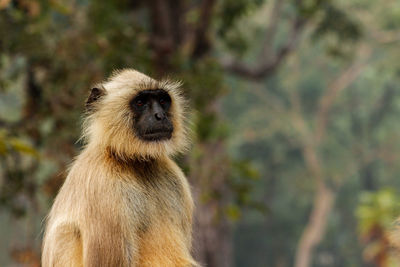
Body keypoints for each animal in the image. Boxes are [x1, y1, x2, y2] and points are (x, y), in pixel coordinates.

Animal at [41, 69, 198, 267]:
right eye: (140, 102)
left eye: (162, 100)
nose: (160, 116)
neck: (136, 163)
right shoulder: (103, 186)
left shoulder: (176, 178)